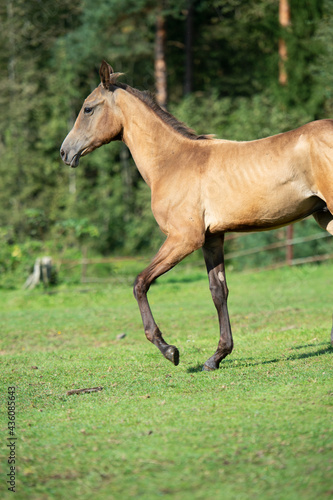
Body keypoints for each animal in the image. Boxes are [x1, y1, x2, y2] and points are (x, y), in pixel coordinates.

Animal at [60, 60, 332, 370]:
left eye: (88, 108)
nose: (65, 152)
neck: (173, 162)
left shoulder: (184, 238)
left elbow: (140, 282)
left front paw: (169, 350)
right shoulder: (212, 238)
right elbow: (218, 291)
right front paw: (216, 356)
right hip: (325, 216)